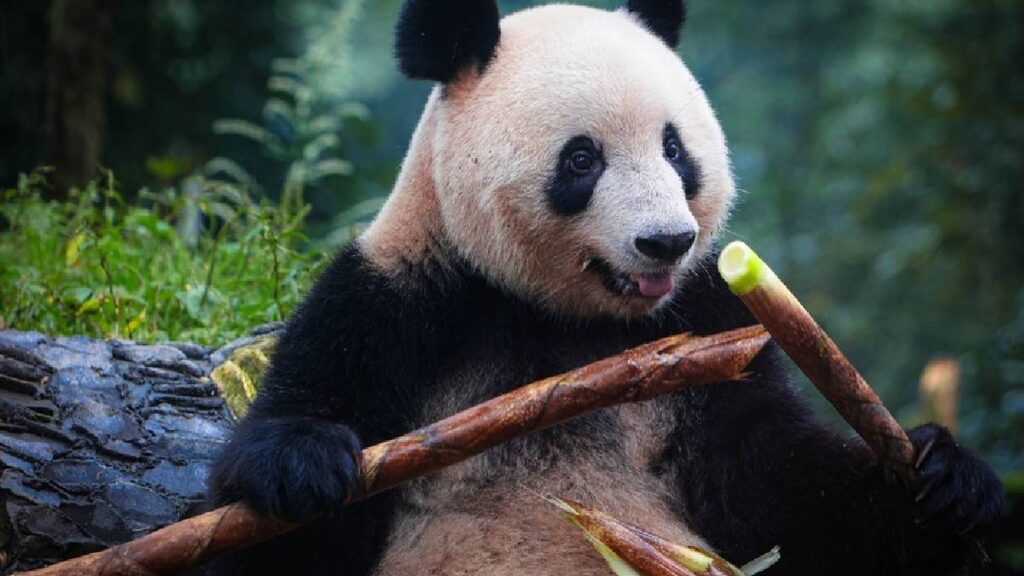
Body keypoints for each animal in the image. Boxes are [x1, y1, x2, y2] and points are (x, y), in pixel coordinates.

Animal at [204, 1, 1004, 575]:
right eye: (582, 159)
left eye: (675, 149)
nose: (667, 242)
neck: (567, 318)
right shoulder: (400, 301)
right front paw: (305, 465)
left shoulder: (706, 322)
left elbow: (776, 491)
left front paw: (946, 482)